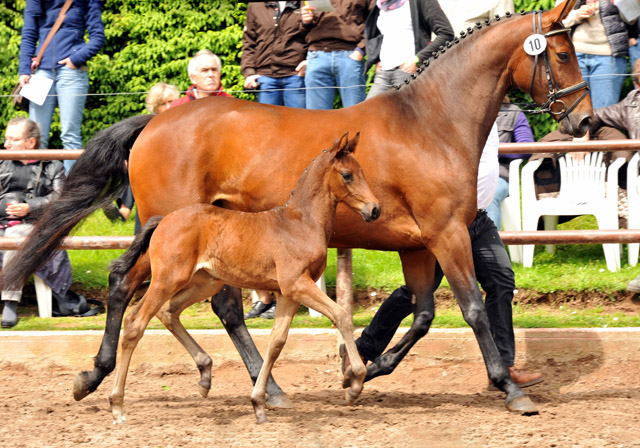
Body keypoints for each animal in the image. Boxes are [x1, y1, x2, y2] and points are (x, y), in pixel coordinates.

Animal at [107, 132, 380, 424]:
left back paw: (205, 375)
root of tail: (163, 220)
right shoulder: (298, 284)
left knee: (168, 312)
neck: (301, 223)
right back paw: (117, 405)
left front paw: (259, 402)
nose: (375, 209)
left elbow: (277, 342)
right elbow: (341, 315)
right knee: (135, 323)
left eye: (362, 171)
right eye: (347, 175)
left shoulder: (288, 293)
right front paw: (354, 383)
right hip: (168, 279)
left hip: (205, 282)